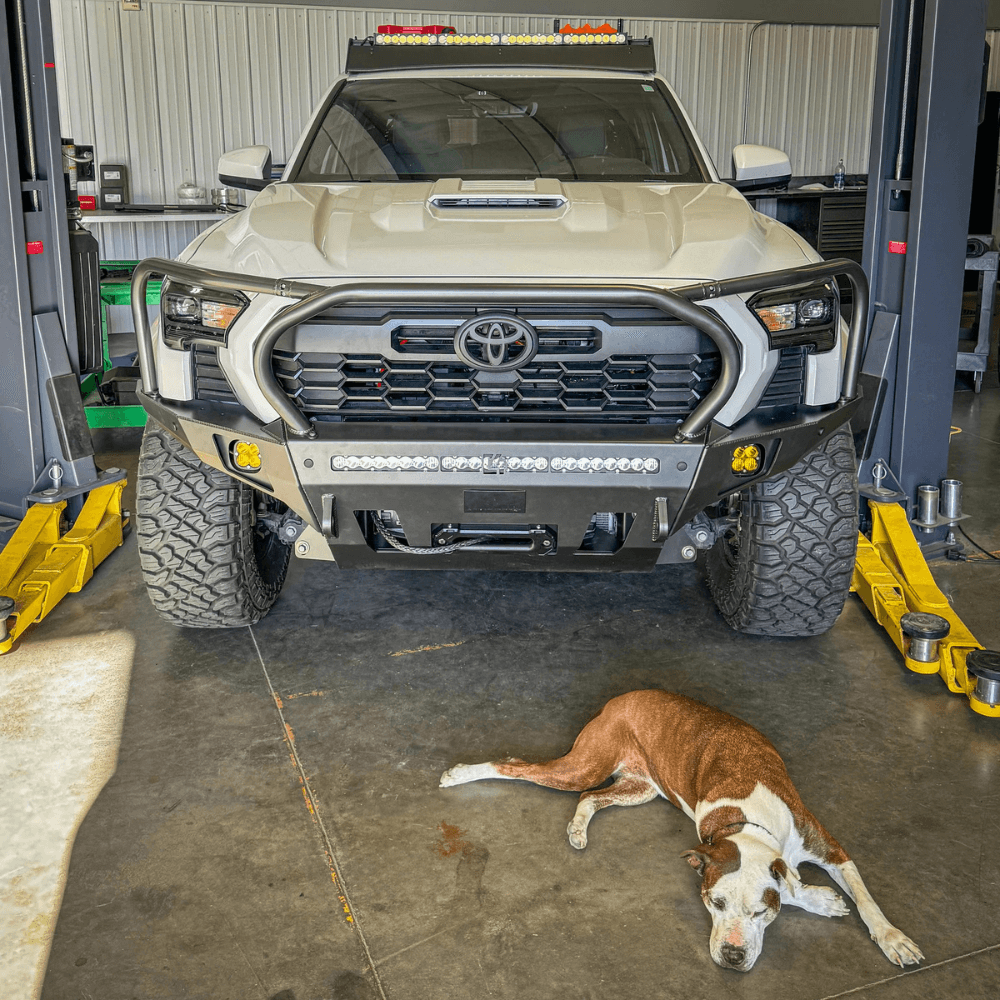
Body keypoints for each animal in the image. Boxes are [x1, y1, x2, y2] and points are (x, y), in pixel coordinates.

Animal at [442, 688, 924, 968]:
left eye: (760, 912)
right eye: (714, 903)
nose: (732, 955)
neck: (748, 822)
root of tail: (621, 697)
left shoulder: (830, 848)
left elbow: (865, 900)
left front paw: (893, 939)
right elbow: (793, 886)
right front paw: (821, 899)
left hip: (639, 787)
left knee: (588, 798)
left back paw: (578, 830)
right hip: (583, 766)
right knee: (517, 767)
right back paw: (462, 773)